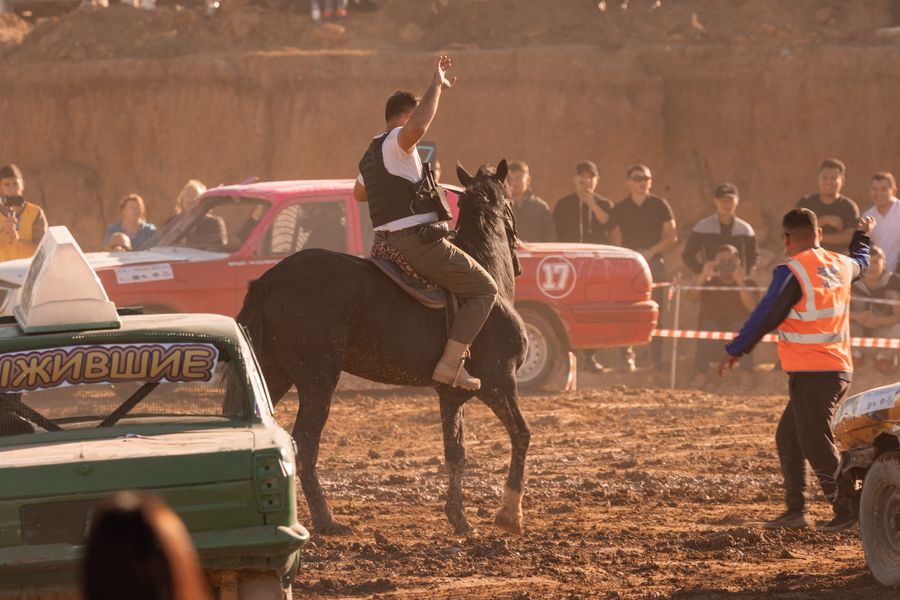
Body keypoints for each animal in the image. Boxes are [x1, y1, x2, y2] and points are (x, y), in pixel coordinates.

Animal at [239, 159, 532, 536]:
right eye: (511, 202)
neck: (487, 268)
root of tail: (267, 281)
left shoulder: (451, 396)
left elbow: (456, 454)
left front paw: (460, 518)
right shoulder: (500, 382)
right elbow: (521, 435)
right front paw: (509, 513)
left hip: (273, 375)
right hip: (318, 382)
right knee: (304, 444)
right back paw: (326, 520)